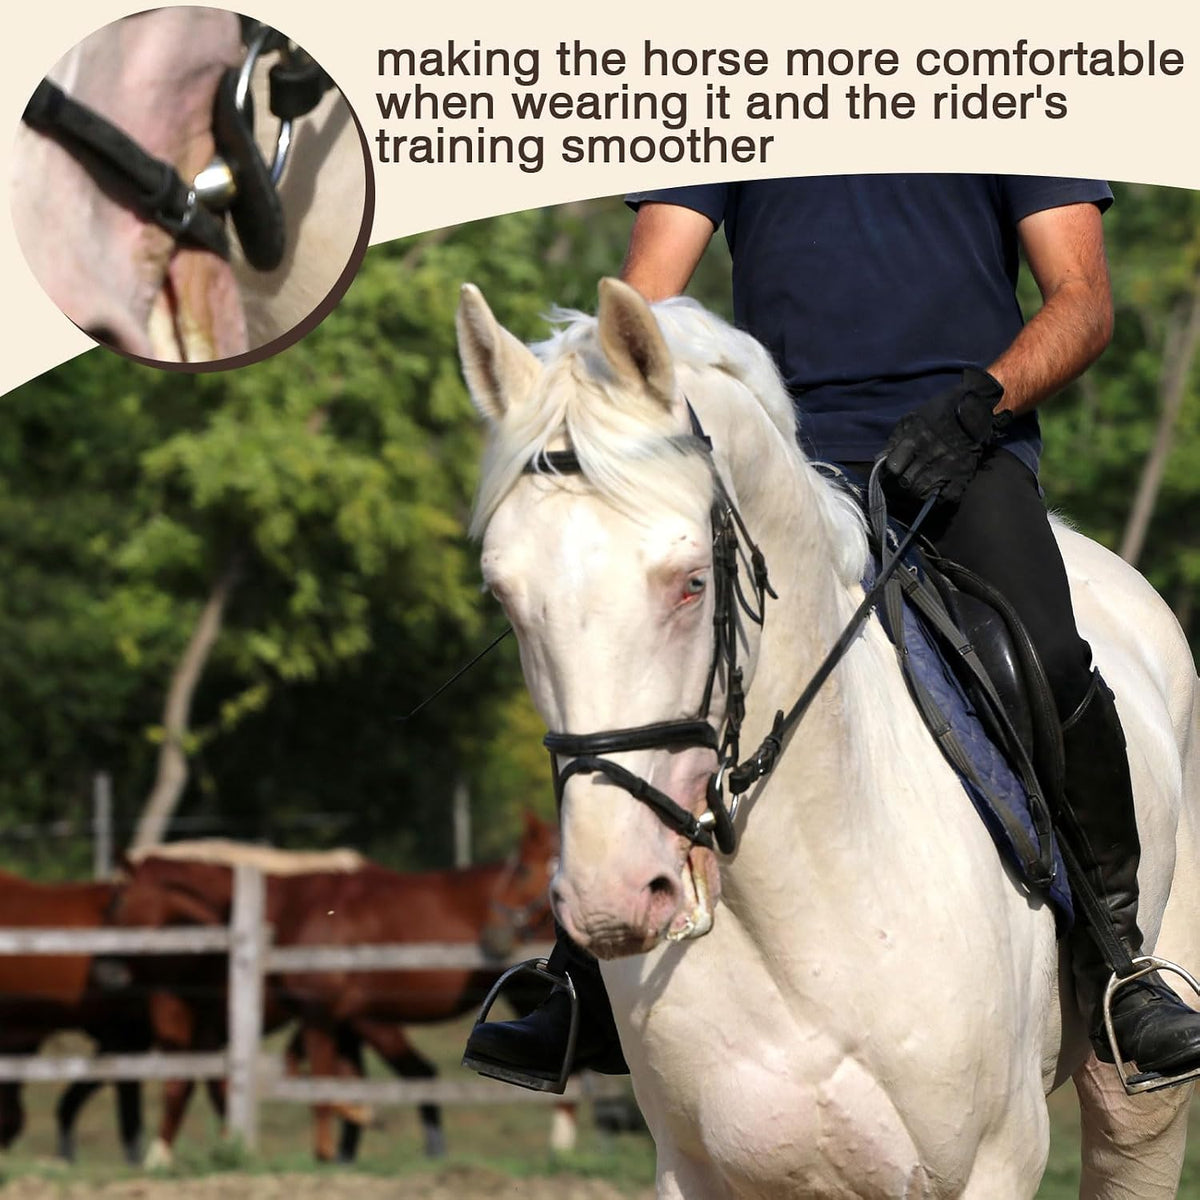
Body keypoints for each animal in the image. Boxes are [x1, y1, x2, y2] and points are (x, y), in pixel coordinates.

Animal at [114, 813, 560, 1163]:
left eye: (115, 901)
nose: (111, 971)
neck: (291, 909)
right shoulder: (334, 1017)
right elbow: (322, 1076)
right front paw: (351, 1127)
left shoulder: (319, 1015)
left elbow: (317, 1082)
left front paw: (332, 1142)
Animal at [457, 278, 1200, 1198]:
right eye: (504, 594)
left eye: (690, 582)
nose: (614, 896)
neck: (802, 903)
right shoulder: (698, 1171)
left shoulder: (989, 1165)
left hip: (1137, 1092)